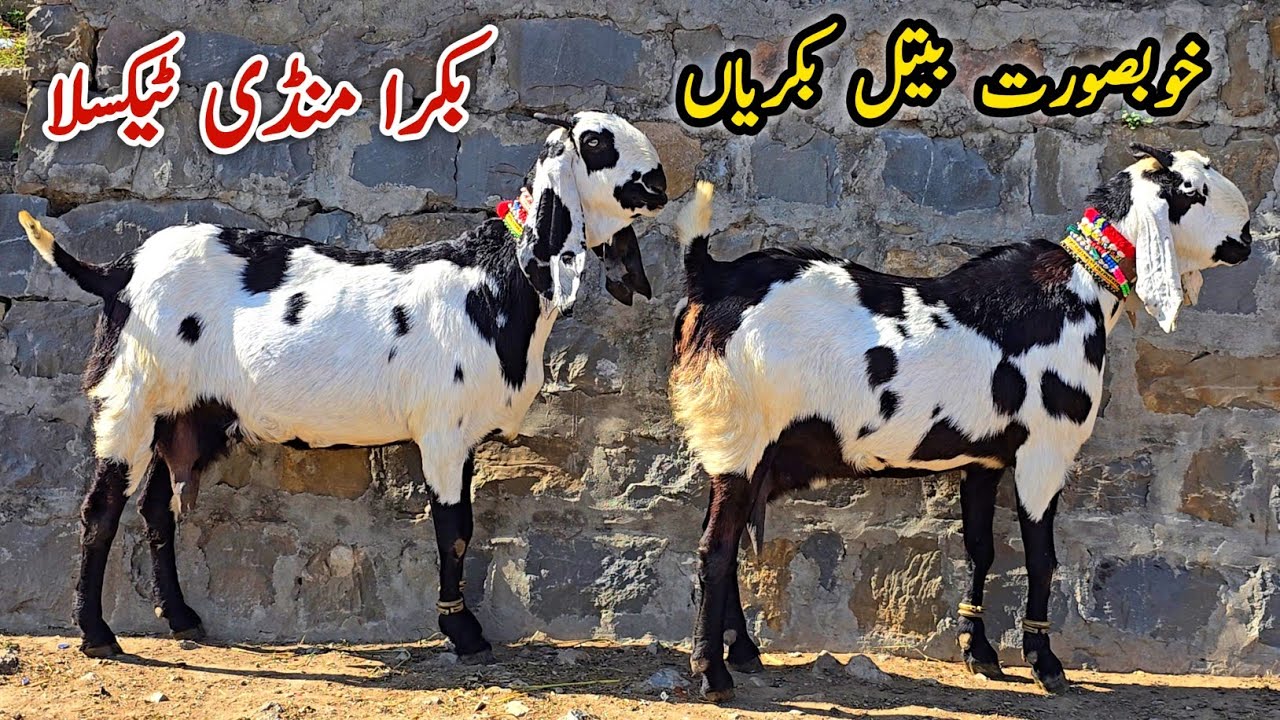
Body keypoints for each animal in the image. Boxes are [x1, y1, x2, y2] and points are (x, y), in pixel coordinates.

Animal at [18, 111, 668, 660]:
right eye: (596, 141)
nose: (660, 181)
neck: (494, 281)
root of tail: (117, 271)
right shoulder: (444, 433)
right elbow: (455, 530)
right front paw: (463, 632)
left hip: (189, 415)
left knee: (158, 506)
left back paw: (181, 618)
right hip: (131, 398)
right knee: (101, 509)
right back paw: (96, 634)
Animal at [669, 144, 1252, 701]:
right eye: (1193, 190)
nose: (1247, 236)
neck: (1078, 289)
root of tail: (710, 276)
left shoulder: (984, 459)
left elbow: (981, 548)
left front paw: (981, 653)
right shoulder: (1045, 452)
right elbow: (1041, 557)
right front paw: (1045, 664)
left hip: (744, 448)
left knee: (722, 540)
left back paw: (744, 652)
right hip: (741, 439)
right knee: (713, 549)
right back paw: (713, 674)